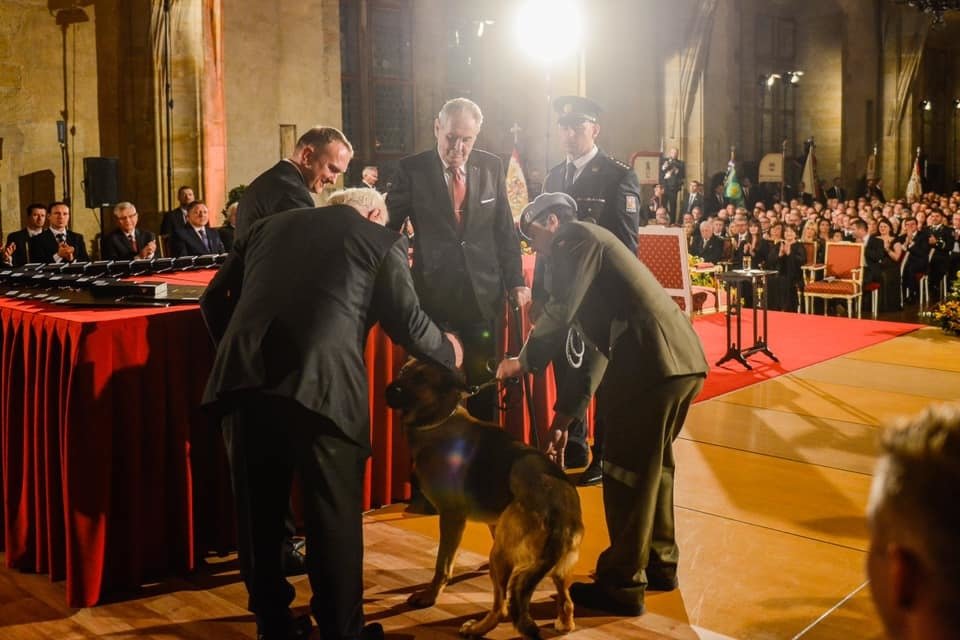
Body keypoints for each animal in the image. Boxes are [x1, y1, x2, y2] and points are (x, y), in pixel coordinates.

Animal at [384, 358, 584, 636]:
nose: (388, 389)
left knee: (502, 608)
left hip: (499, 555)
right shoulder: (494, 520)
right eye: (403, 371)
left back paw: (476, 628)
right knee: (566, 603)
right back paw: (563, 624)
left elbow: (442, 565)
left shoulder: (452, 518)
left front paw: (430, 595)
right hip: (555, 566)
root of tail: (560, 513)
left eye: (421, 379)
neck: (438, 419)